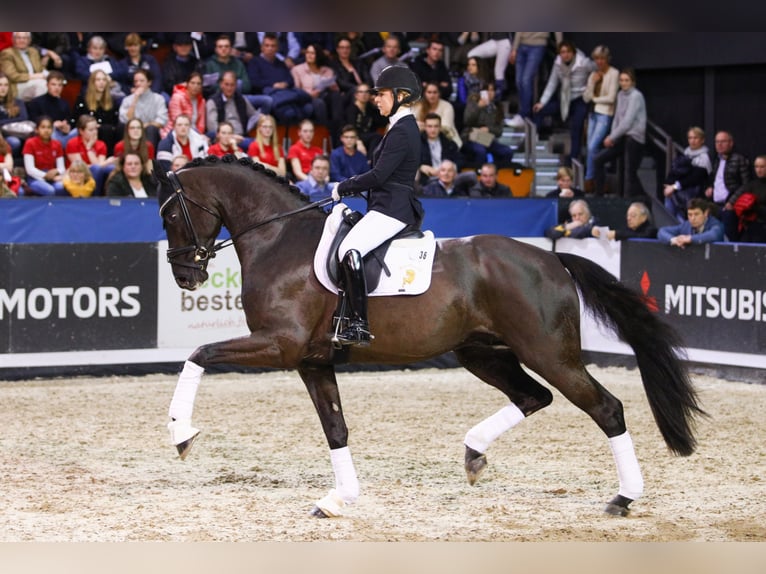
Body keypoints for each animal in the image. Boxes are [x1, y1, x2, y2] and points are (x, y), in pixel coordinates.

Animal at [156, 158, 708, 520]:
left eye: (170, 214)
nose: (185, 277)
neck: (280, 239)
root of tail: (551, 257)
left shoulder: (280, 344)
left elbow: (198, 354)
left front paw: (181, 433)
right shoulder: (312, 359)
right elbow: (336, 430)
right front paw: (338, 499)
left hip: (549, 352)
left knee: (605, 408)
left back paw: (623, 498)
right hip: (480, 352)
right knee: (534, 396)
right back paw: (474, 454)